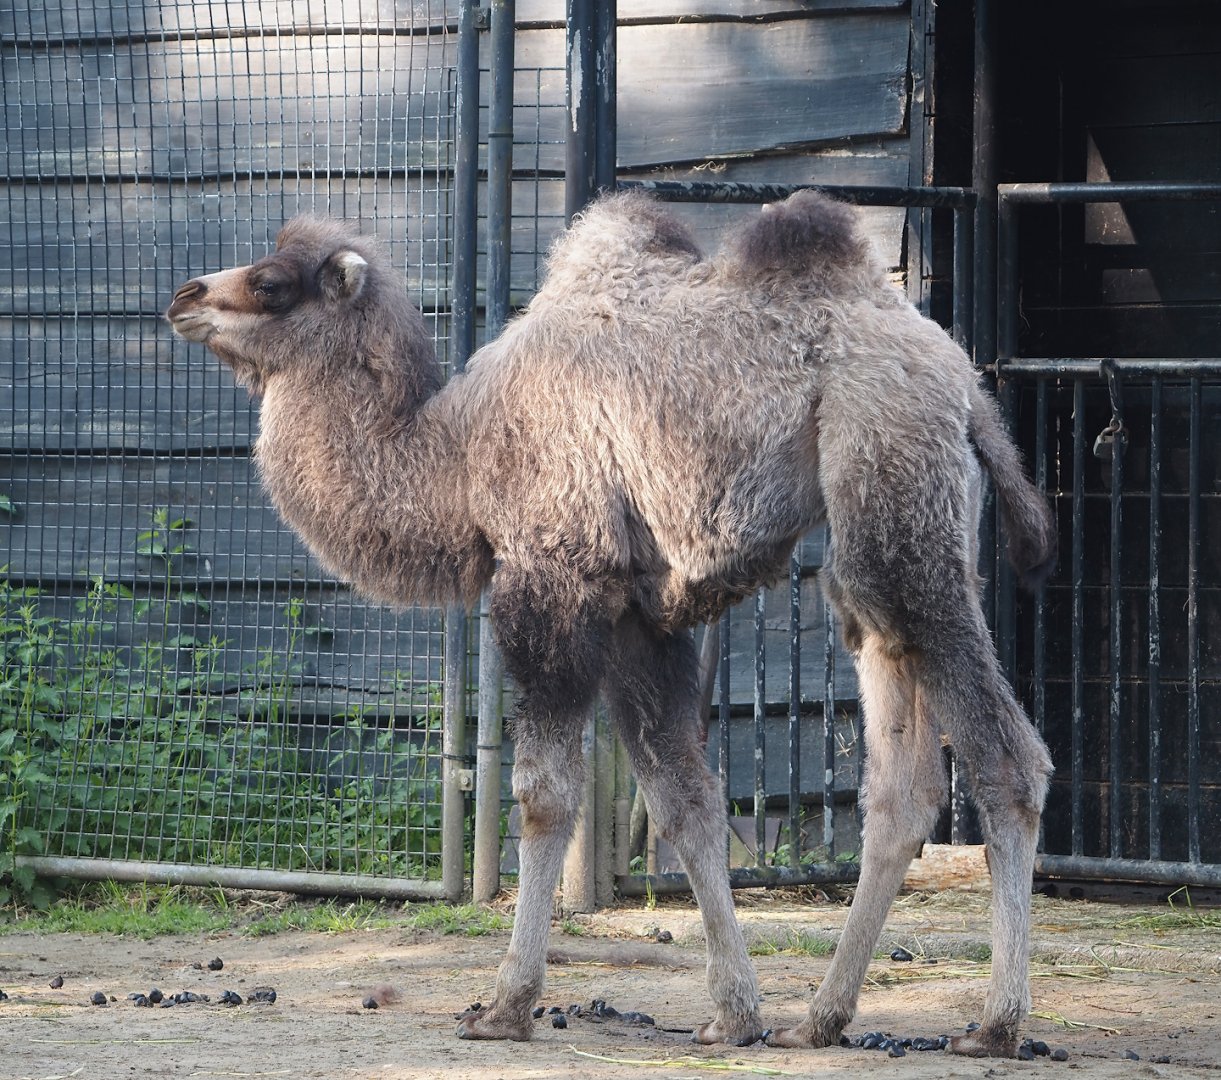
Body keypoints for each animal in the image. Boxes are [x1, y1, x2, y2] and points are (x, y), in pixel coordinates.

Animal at [167, 190, 1056, 1057]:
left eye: (272, 283)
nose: (184, 297)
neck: (456, 459)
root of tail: (965, 382)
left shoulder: (555, 576)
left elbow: (545, 795)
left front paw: (506, 1005)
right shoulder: (634, 615)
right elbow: (683, 801)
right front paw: (734, 1014)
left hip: (895, 488)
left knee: (1007, 758)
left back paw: (994, 1023)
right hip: (872, 543)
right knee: (899, 781)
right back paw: (819, 1019)